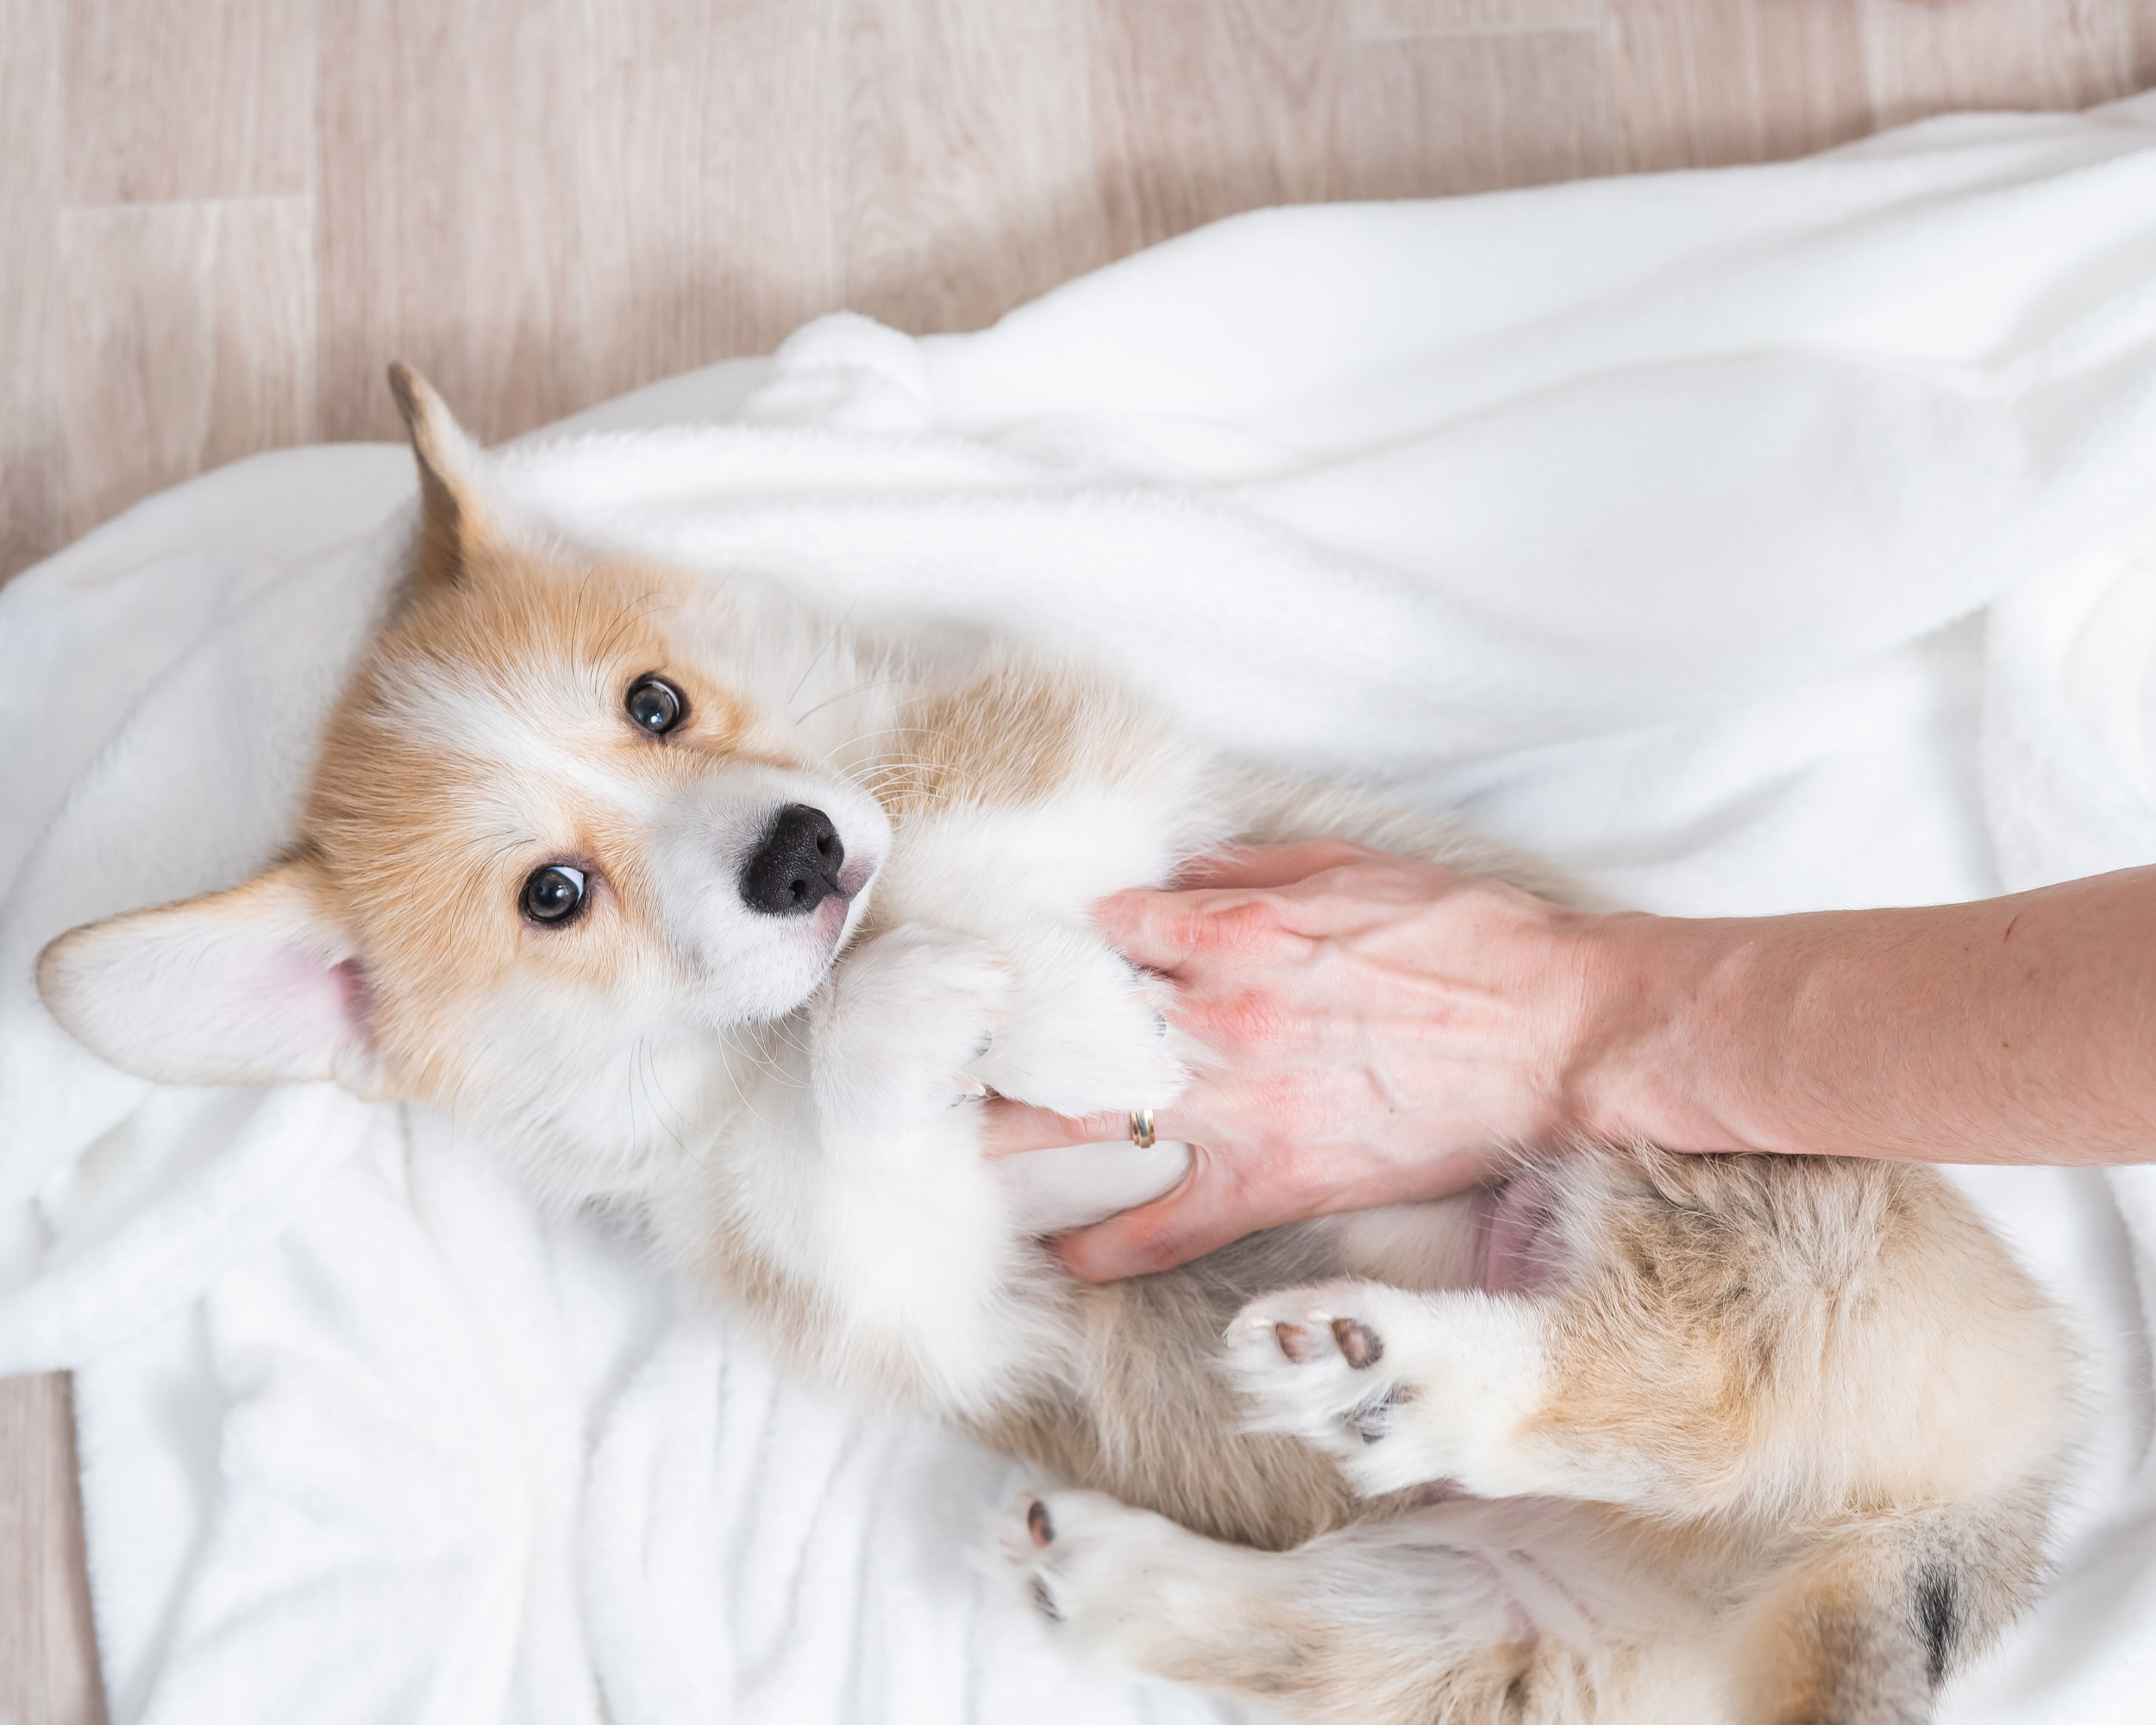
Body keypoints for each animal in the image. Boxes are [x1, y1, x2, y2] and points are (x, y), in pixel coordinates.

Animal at [38, 367, 2070, 1725]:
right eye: (552, 895)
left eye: (655, 702)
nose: (798, 855)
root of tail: (1949, 1532)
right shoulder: (911, 1289)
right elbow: (864, 1120)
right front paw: (970, 1020)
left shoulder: (1070, 761)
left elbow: (952, 863)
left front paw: (1067, 1012)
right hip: (1497, 1626)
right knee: (1414, 1584)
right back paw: (1156, 1538)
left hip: (1684, 1160)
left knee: (1689, 1378)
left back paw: (1392, 1370)